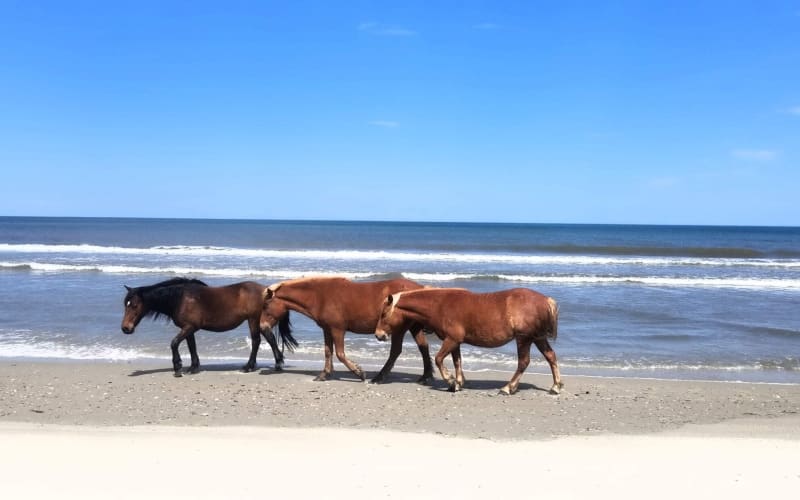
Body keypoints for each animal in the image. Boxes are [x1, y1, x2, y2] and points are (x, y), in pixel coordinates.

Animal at [121, 277, 298, 377]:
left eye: (134, 305)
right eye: (125, 304)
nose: (125, 328)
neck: (181, 299)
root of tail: (267, 291)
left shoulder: (189, 327)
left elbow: (174, 343)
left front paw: (178, 368)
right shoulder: (189, 329)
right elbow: (191, 347)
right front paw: (193, 367)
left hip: (253, 319)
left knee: (256, 340)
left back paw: (249, 367)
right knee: (269, 338)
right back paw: (277, 364)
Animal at [259, 277, 434, 384]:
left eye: (266, 305)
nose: (261, 326)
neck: (320, 296)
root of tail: (419, 288)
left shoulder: (338, 330)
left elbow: (340, 354)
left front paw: (359, 372)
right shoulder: (327, 329)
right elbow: (328, 352)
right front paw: (324, 374)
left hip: (399, 329)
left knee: (396, 351)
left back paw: (379, 377)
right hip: (414, 327)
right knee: (423, 347)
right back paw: (425, 376)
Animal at [374, 287, 563, 395]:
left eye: (383, 314)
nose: (378, 335)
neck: (440, 305)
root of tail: (546, 300)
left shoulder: (451, 339)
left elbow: (439, 359)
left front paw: (451, 381)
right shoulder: (455, 341)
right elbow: (457, 361)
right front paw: (457, 383)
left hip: (524, 339)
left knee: (524, 362)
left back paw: (508, 388)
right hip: (538, 338)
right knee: (551, 356)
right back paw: (555, 386)